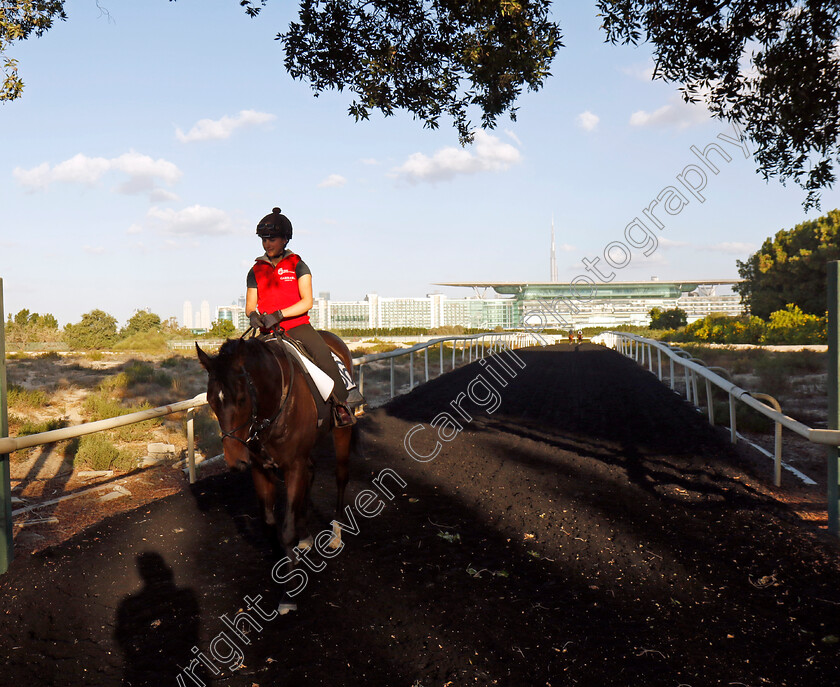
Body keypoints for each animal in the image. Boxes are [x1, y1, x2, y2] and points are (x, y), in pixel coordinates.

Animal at [197, 334, 354, 564]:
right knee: (311, 472)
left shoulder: (293, 466)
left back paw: (336, 533)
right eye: (210, 401)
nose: (235, 461)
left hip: (342, 430)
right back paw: (305, 535)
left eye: (241, 399)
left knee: (341, 475)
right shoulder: (260, 468)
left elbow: (287, 530)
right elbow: (269, 523)